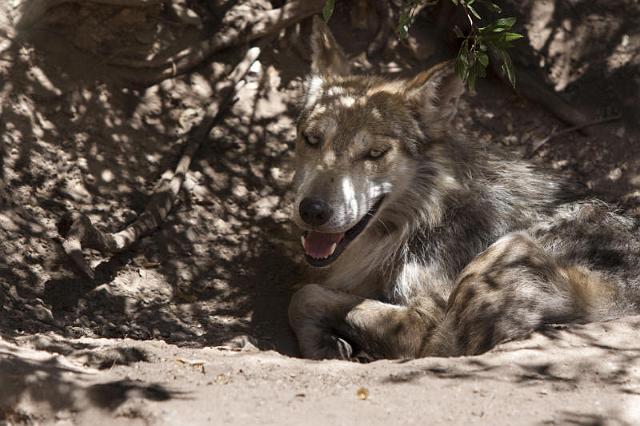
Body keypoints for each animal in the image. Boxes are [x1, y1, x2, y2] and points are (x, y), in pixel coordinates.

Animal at [288, 18, 640, 362]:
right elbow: (309, 294)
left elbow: (306, 296)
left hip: (508, 250)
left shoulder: (422, 318)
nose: (313, 211)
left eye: (375, 153)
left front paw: (326, 347)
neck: (425, 213)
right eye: (312, 139)